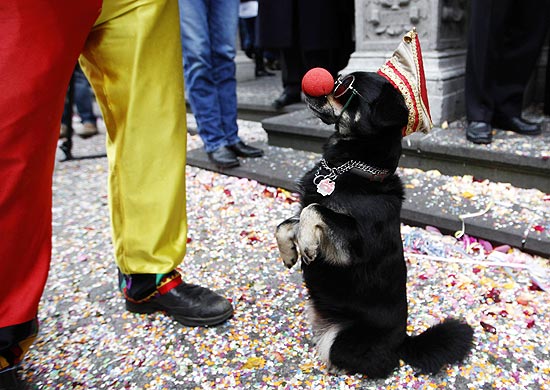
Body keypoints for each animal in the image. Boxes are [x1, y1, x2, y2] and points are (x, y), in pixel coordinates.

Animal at [276, 29, 474, 378]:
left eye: (343, 88)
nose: (308, 82)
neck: (350, 168)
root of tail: (404, 342)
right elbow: (287, 222)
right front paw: (290, 250)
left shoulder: (353, 246)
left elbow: (315, 211)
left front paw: (308, 244)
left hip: (343, 340)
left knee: (378, 364)